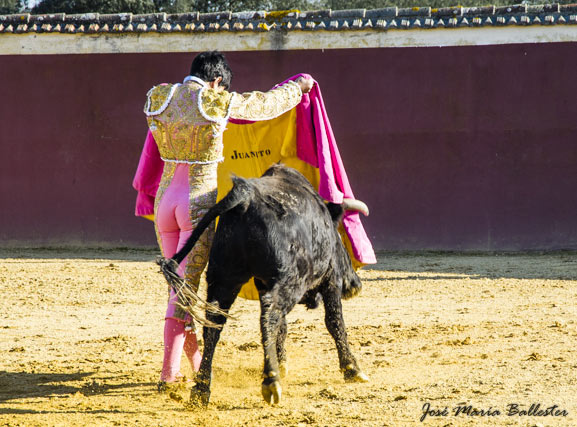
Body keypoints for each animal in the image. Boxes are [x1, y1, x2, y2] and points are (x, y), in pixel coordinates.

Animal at [156, 165, 368, 408]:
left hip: (224, 277)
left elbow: (284, 327)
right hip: (289, 281)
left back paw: (201, 388)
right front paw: (352, 368)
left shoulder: (263, 282)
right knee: (270, 316)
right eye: (342, 243)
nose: (355, 284)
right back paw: (271, 381)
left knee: (214, 324)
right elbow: (334, 322)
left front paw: (282, 363)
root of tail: (245, 196)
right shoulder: (330, 280)